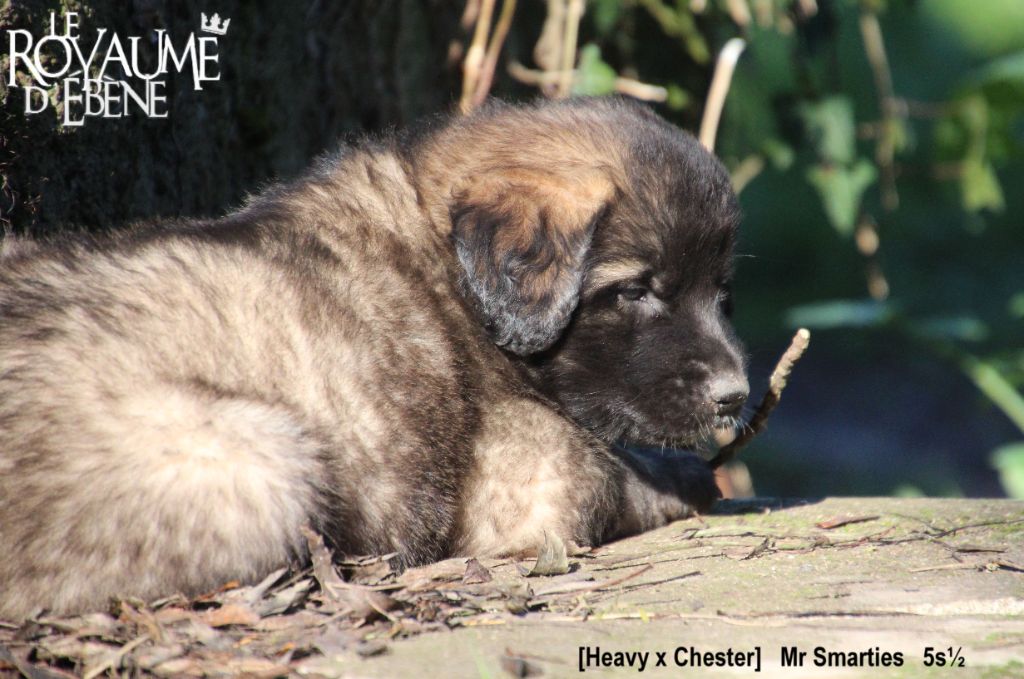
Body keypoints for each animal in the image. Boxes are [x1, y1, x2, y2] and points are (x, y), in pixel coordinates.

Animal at [0, 97, 747, 619]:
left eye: (721, 290)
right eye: (635, 291)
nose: (736, 396)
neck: (448, 268)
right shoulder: (533, 477)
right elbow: (608, 472)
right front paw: (686, 479)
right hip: (252, 454)